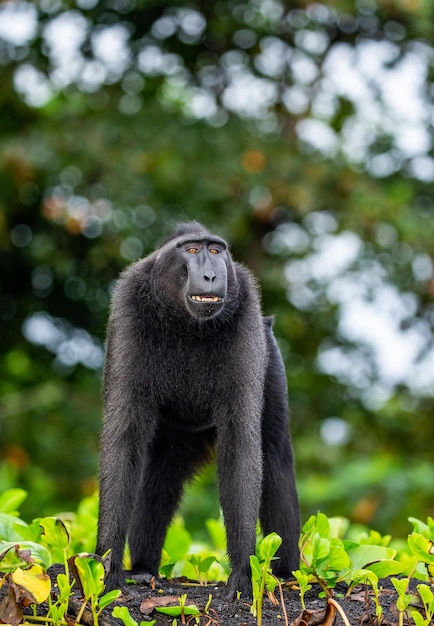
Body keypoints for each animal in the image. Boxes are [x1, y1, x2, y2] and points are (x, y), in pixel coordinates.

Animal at [96, 221, 300, 596]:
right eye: (192, 250)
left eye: (216, 251)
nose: (211, 275)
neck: (185, 322)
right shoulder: (128, 304)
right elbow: (124, 439)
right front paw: (107, 570)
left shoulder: (247, 312)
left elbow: (241, 445)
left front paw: (243, 572)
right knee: (160, 473)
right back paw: (143, 569)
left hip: (270, 354)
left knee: (275, 456)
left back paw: (286, 575)